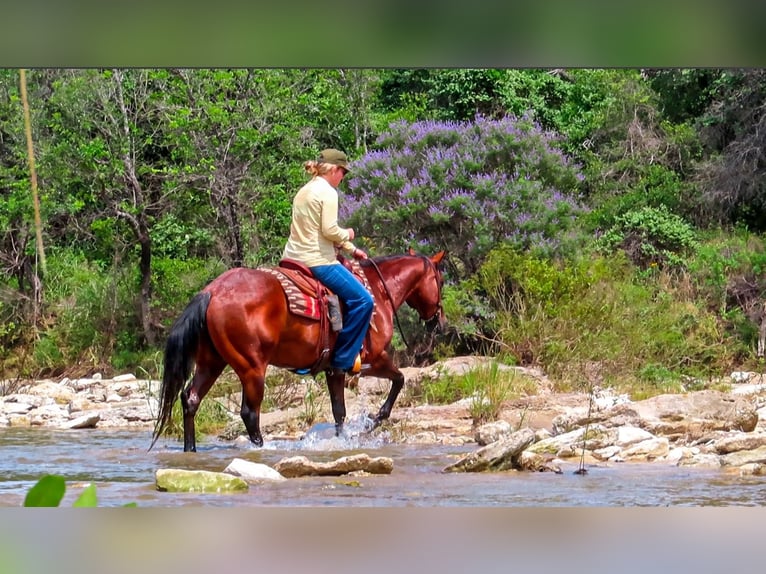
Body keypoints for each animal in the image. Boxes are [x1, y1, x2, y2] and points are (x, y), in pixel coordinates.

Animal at [150, 250, 446, 452]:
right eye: (440, 281)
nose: (440, 322)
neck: (378, 292)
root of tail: (212, 291)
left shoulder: (334, 370)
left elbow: (339, 411)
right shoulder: (373, 360)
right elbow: (399, 380)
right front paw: (373, 420)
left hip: (211, 362)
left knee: (190, 399)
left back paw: (190, 450)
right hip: (252, 368)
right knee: (249, 413)